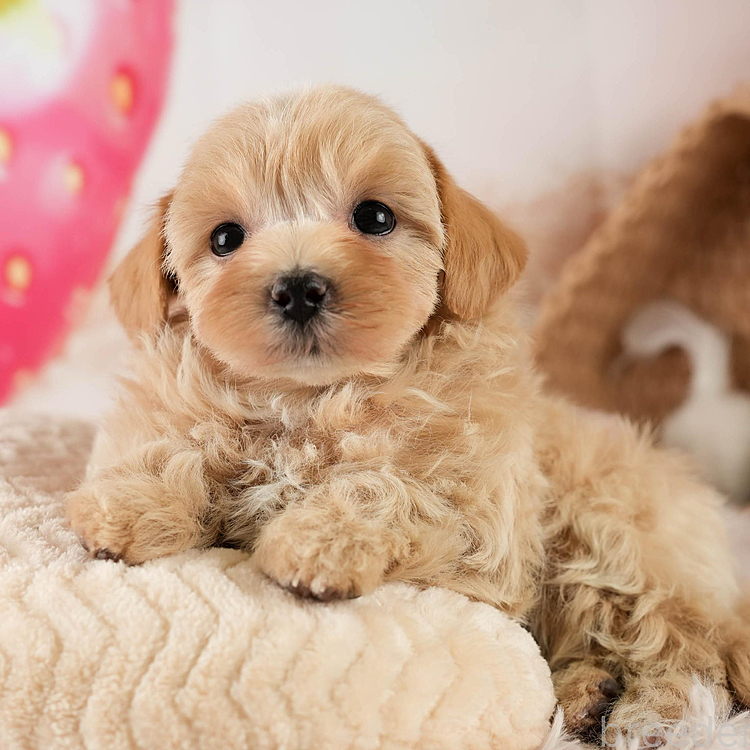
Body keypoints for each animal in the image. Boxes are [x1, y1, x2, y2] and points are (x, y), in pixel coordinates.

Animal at [66, 88, 750, 748]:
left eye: (375, 217)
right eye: (225, 238)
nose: (297, 288)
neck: (311, 399)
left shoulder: (482, 523)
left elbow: (385, 487)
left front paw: (316, 545)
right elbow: (181, 447)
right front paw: (128, 503)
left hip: (611, 535)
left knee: (687, 654)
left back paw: (646, 716)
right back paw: (587, 697)